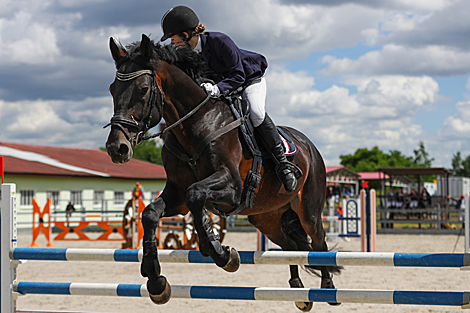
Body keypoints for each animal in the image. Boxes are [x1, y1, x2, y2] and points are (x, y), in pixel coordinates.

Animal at [105, 34, 342, 310]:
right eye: (112, 89)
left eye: (143, 89)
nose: (117, 148)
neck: (195, 124)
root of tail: (309, 145)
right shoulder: (176, 194)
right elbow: (151, 214)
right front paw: (156, 282)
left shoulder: (232, 187)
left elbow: (196, 194)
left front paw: (221, 253)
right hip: (267, 217)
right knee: (292, 245)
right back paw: (298, 290)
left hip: (309, 210)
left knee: (318, 242)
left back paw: (328, 288)